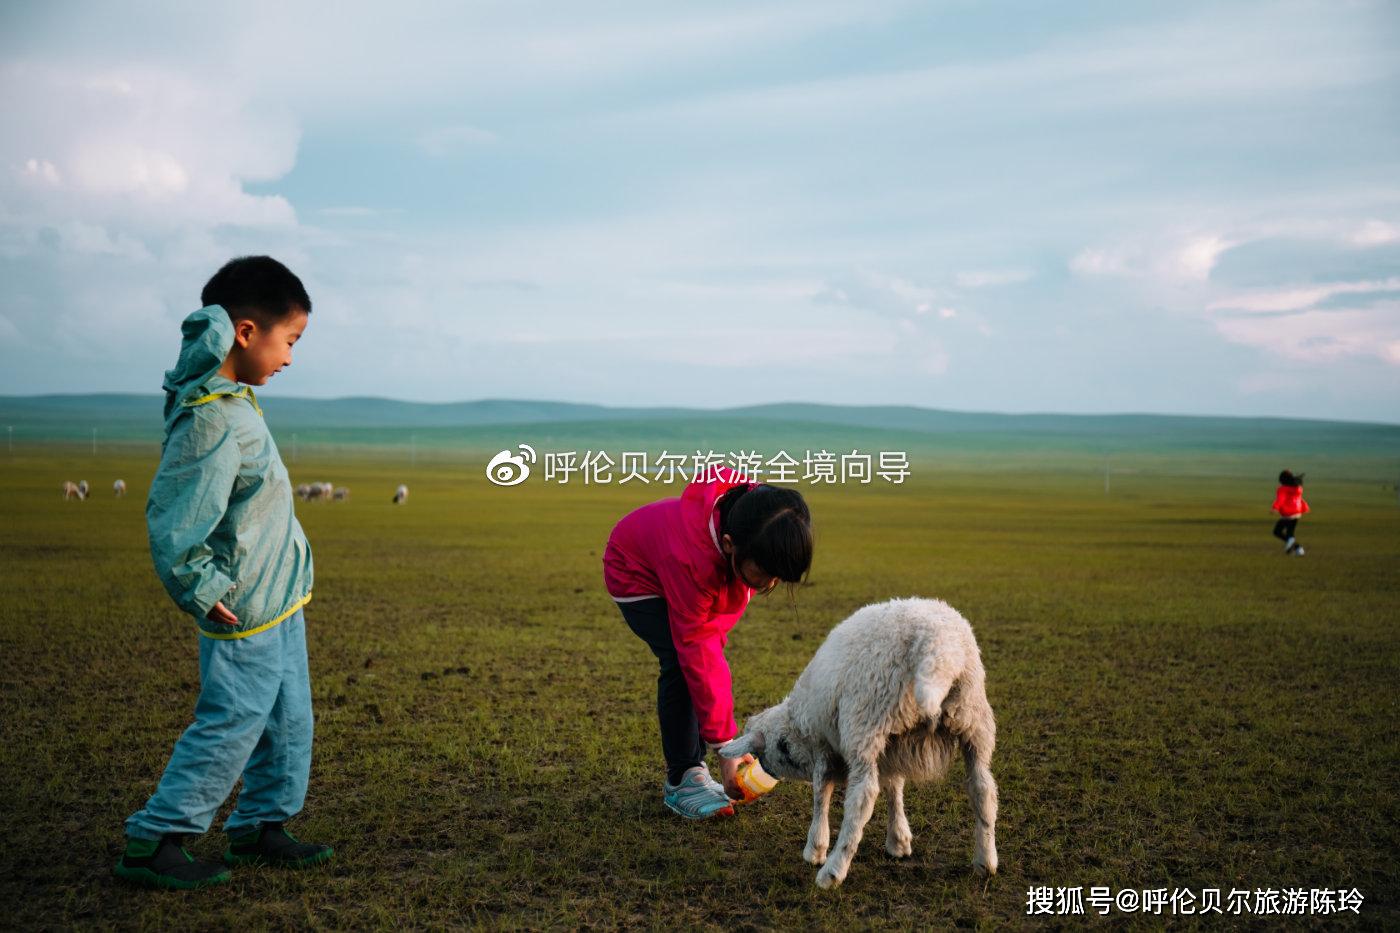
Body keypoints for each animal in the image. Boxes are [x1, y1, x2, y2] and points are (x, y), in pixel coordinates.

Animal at [722, 596, 996, 885]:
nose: (767, 770)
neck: (796, 727)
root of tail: (935, 644)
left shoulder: (824, 749)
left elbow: (821, 794)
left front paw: (815, 848)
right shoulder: (892, 745)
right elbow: (894, 786)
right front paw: (898, 841)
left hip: (865, 724)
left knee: (862, 797)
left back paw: (833, 870)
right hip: (973, 720)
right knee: (982, 787)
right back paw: (986, 861)